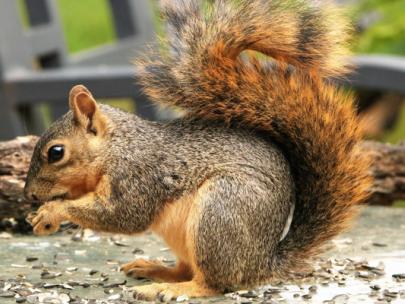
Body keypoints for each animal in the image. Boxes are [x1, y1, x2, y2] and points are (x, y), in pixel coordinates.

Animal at [22, 0, 370, 300]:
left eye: (56, 152)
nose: (29, 195)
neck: (116, 148)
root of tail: (264, 262)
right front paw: (42, 215)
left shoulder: (138, 177)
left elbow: (122, 216)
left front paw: (53, 211)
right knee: (187, 269)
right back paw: (155, 270)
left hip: (221, 211)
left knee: (216, 282)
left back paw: (175, 289)